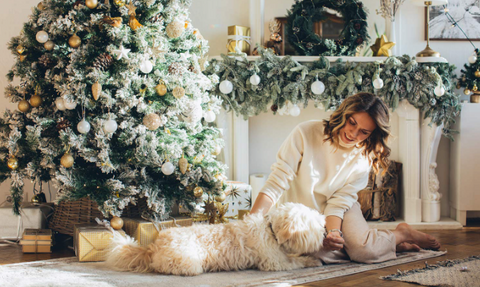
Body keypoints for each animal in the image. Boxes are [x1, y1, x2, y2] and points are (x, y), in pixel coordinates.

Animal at [107, 202, 326, 276]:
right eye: (315, 225)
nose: (325, 233)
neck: (271, 230)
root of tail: (152, 247)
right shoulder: (275, 263)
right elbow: (297, 262)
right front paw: (312, 260)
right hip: (190, 262)